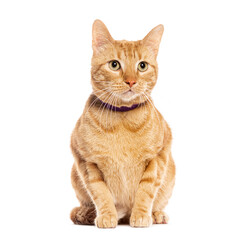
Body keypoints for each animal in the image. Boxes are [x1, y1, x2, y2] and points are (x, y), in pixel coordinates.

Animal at [70, 19, 175, 228]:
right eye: (114, 65)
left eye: (142, 66)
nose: (131, 81)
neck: (123, 120)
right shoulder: (86, 160)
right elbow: (100, 192)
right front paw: (107, 215)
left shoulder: (158, 156)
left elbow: (146, 190)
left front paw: (141, 215)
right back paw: (86, 213)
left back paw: (156, 214)